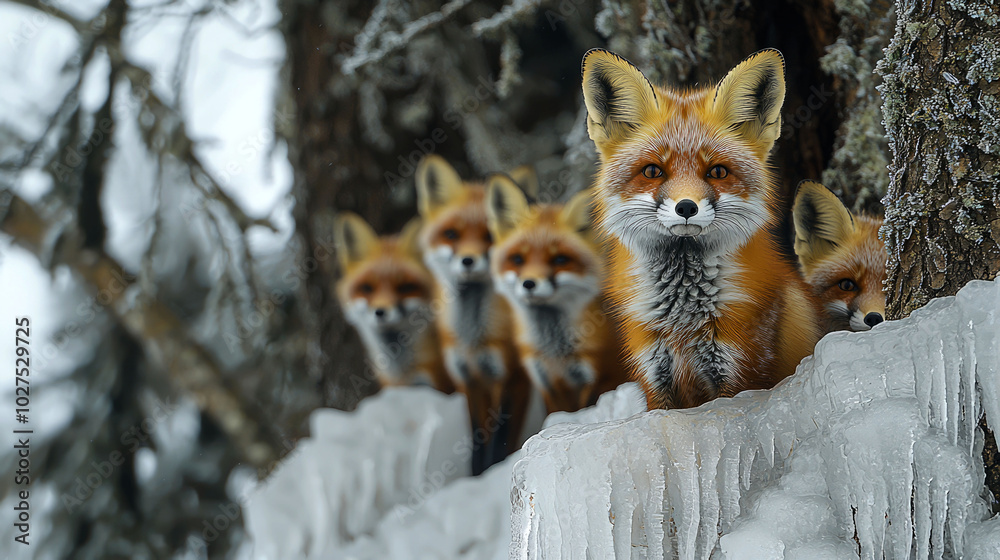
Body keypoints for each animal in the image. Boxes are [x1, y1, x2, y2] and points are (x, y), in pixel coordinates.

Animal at [414, 154, 533, 473]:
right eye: (451, 234)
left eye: (490, 236)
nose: (468, 260)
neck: (473, 336)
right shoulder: (470, 380)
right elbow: (478, 440)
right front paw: (477, 473)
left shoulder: (514, 378)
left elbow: (502, 438)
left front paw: (496, 469)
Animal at [485, 176, 628, 414]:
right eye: (518, 259)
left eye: (560, 260)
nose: (529, 283)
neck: (555, 353)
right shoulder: (547, 382)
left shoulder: (602, 377)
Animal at [581, 48, 825, 410]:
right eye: (652, 171)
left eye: (717, 172)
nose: (686, 207)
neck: (683, 320)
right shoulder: (655, 375)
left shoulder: (742, 372)